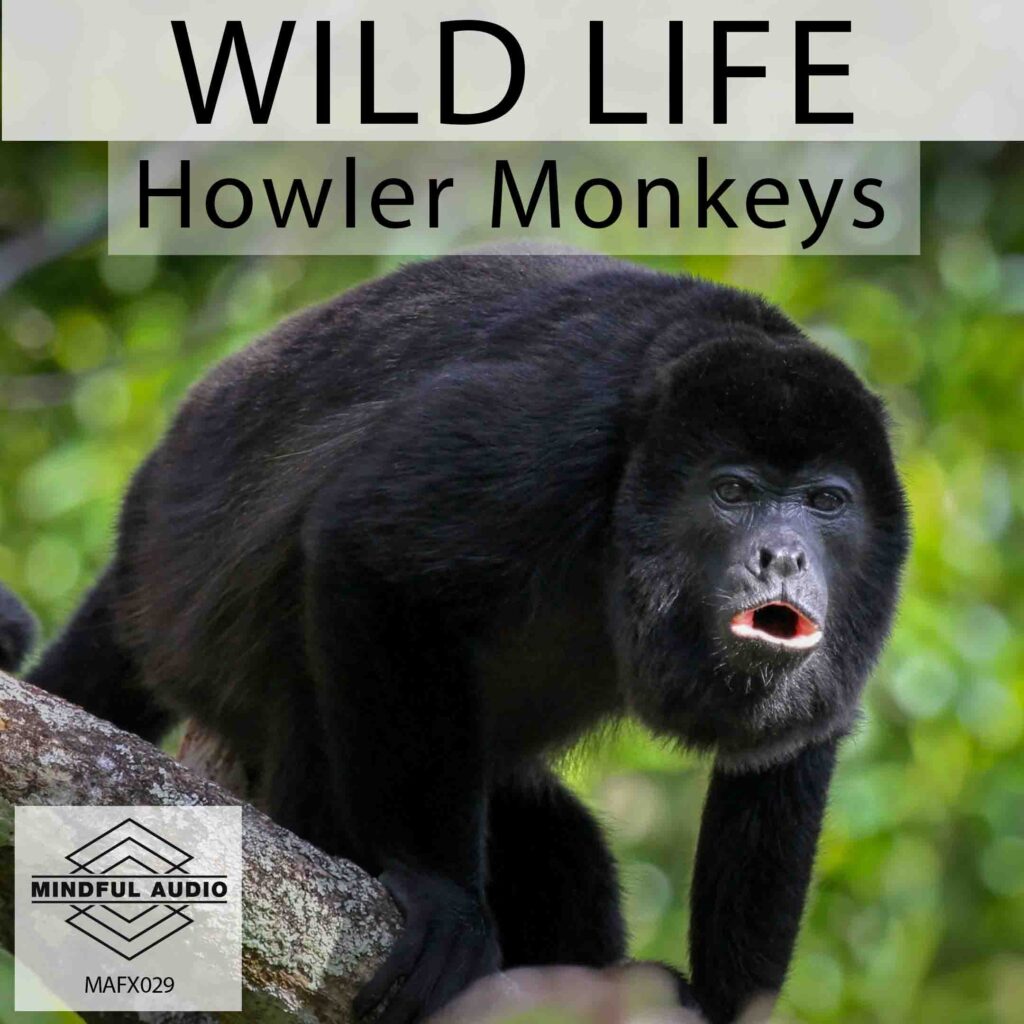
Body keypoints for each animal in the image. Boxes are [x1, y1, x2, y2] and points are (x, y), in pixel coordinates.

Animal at [16, 248, 909, 1024]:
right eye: (733, 491)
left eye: (825, 501)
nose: (782, 555)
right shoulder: (559, 431)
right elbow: (372, 545)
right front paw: (442, 896)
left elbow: (789, 749)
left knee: (565, 853)